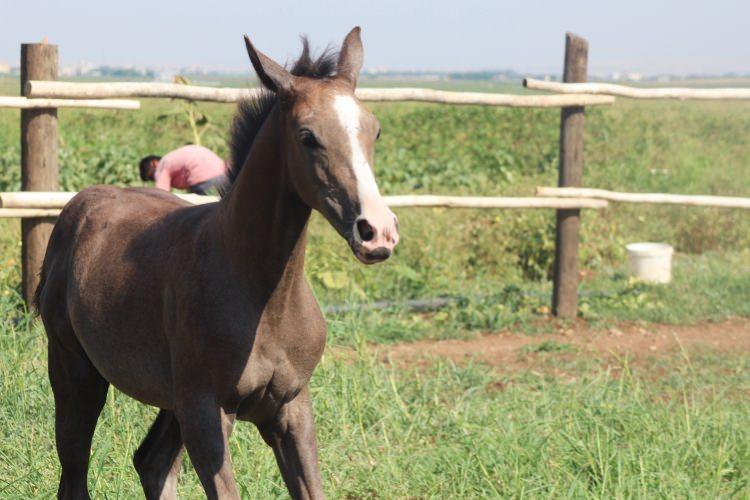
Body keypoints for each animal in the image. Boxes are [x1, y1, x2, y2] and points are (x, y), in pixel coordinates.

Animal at [36, 28, 400, 500]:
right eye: (307, 136)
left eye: (375, 130)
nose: (377, 231)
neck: (262, 292)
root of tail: (76, 207)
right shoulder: (208, 413)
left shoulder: (291, 408)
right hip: (76, 371)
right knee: (75, 469)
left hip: (171, 401)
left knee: (151, 462)